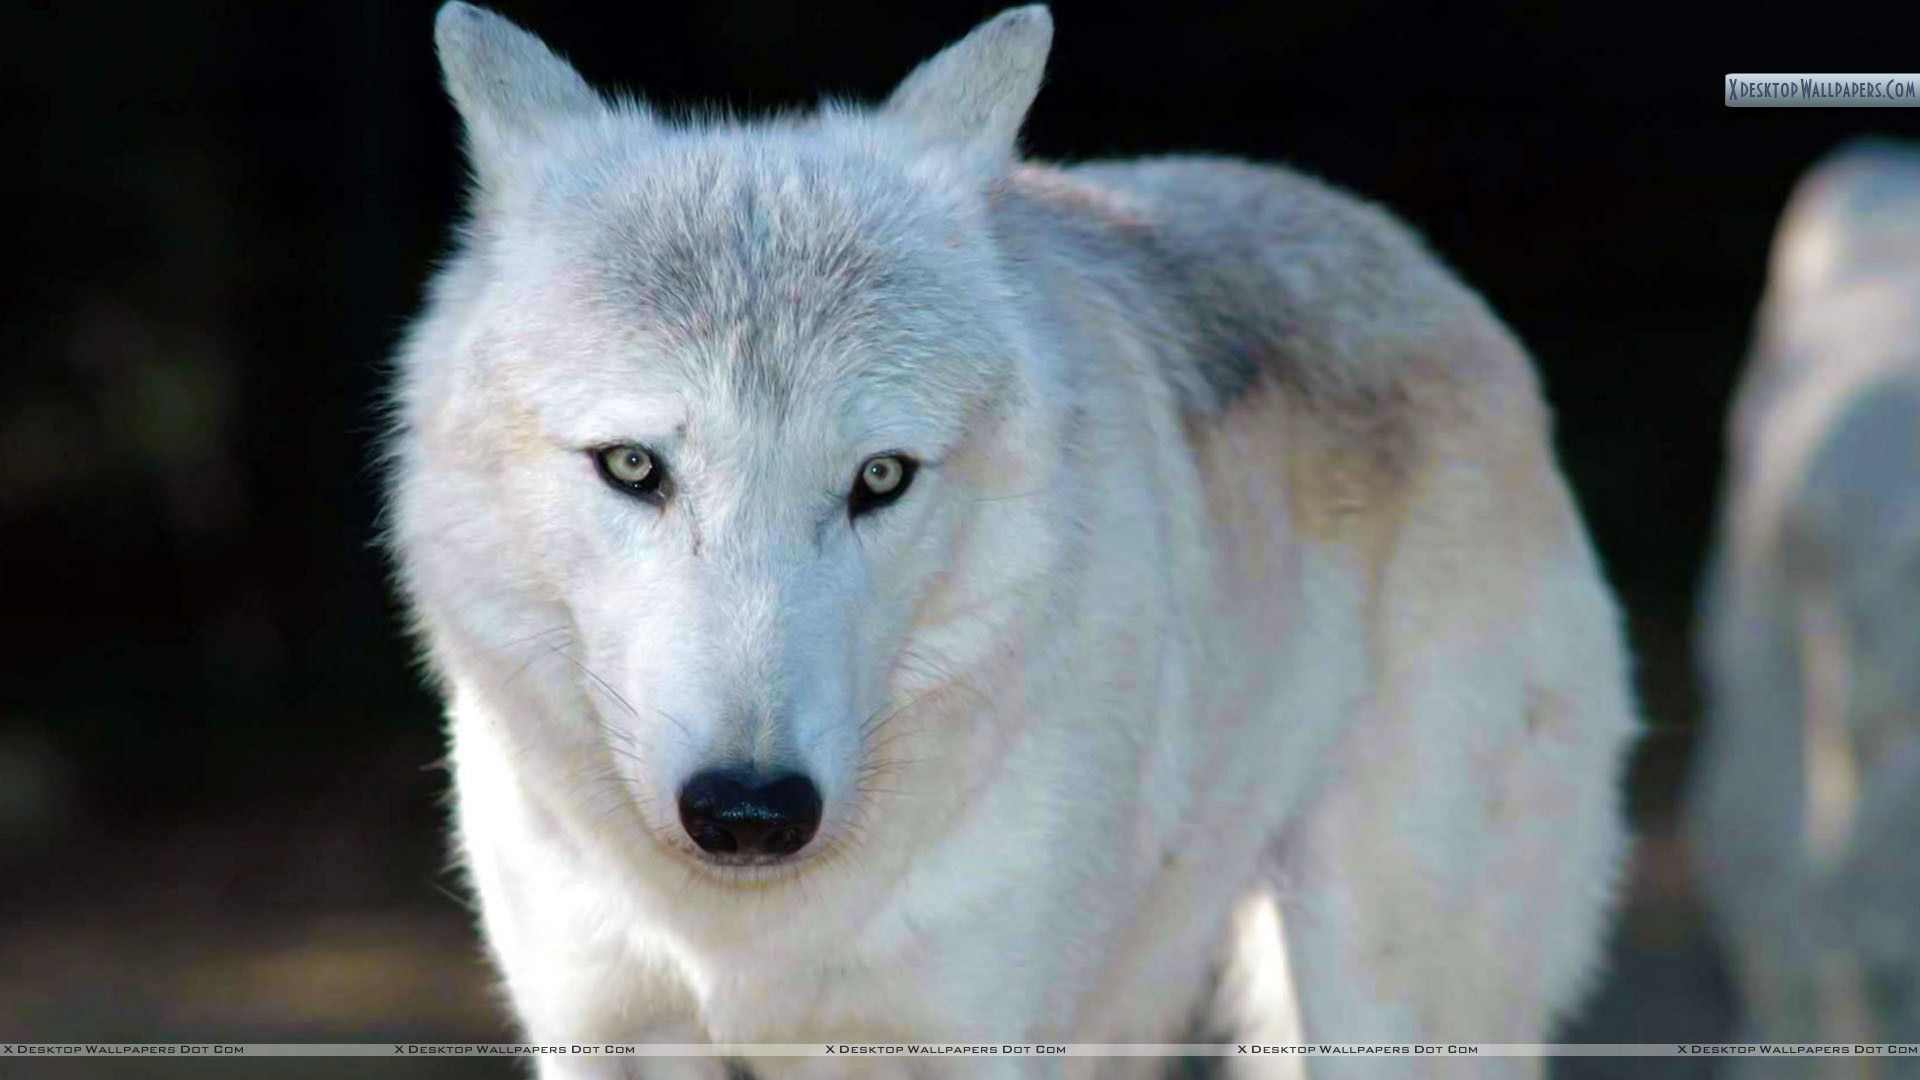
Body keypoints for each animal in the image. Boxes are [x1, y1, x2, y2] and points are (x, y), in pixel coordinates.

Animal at [385, 5, 1638, 1077]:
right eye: (634, 467)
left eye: (880, 477)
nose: (751, 813)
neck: (746, 932)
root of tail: (1426, 271)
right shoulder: (603, 1034)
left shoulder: (977, 1040)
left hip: (1376, 993)